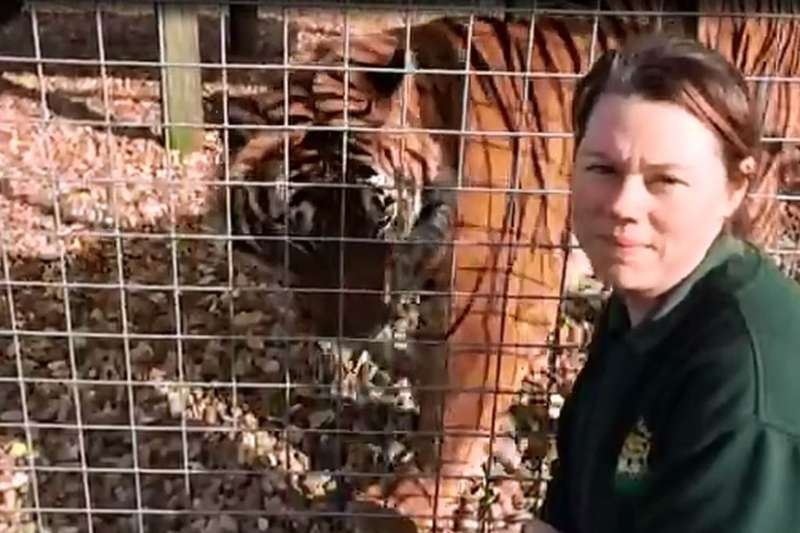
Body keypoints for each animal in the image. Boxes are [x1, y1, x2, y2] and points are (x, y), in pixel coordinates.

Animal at [214, 3, 800, 528]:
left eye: (380, 217)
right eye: (300, 234)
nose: (355, 330)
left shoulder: (492, 310)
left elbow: (453, 417)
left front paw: (408, 499)